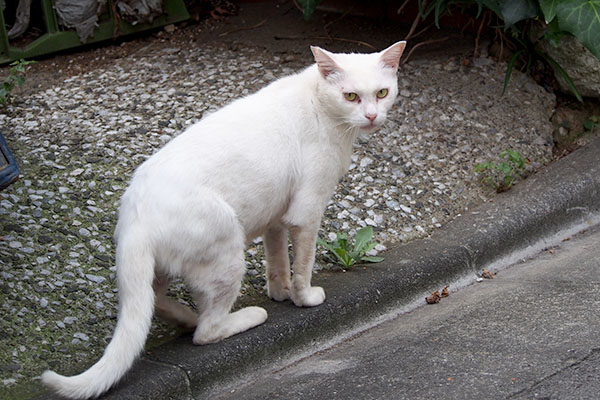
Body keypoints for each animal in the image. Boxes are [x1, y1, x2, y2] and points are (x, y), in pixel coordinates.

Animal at [43, 39, 408, 396]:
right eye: (351, 96)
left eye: (382, 93)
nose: (372, 115)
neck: (322, 108)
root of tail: (134, 218)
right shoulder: (306, 212)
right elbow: (303, 264)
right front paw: (303, 298)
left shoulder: (276, 215)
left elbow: (277, 260)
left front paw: (280, 291)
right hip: (228, 253)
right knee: (207, 332)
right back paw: (245, 317)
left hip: (164, 267)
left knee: (153, 302)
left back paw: (186, 318)